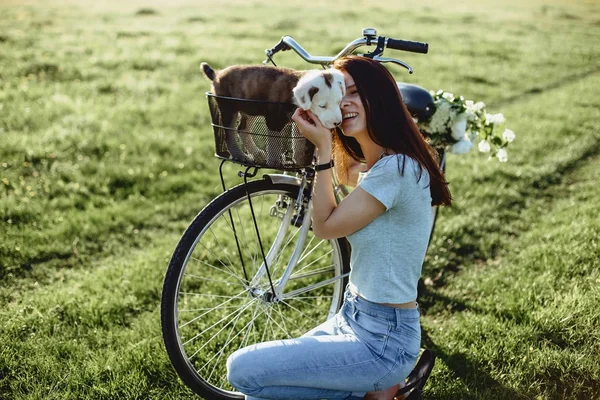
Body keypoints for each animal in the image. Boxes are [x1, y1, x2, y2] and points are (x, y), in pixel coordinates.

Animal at [200, 63, 342, 166]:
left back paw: (257, 153)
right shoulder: (274, 120)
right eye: (322, 106)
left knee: (242, 129)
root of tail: (217, 75)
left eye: (339, 102)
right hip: (228, 107)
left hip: (251, 108)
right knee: (229, 133)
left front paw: (299, 160)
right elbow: (275, 143)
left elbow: (298, 143)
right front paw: (274, 162)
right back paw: (240, 155)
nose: (337, 123)